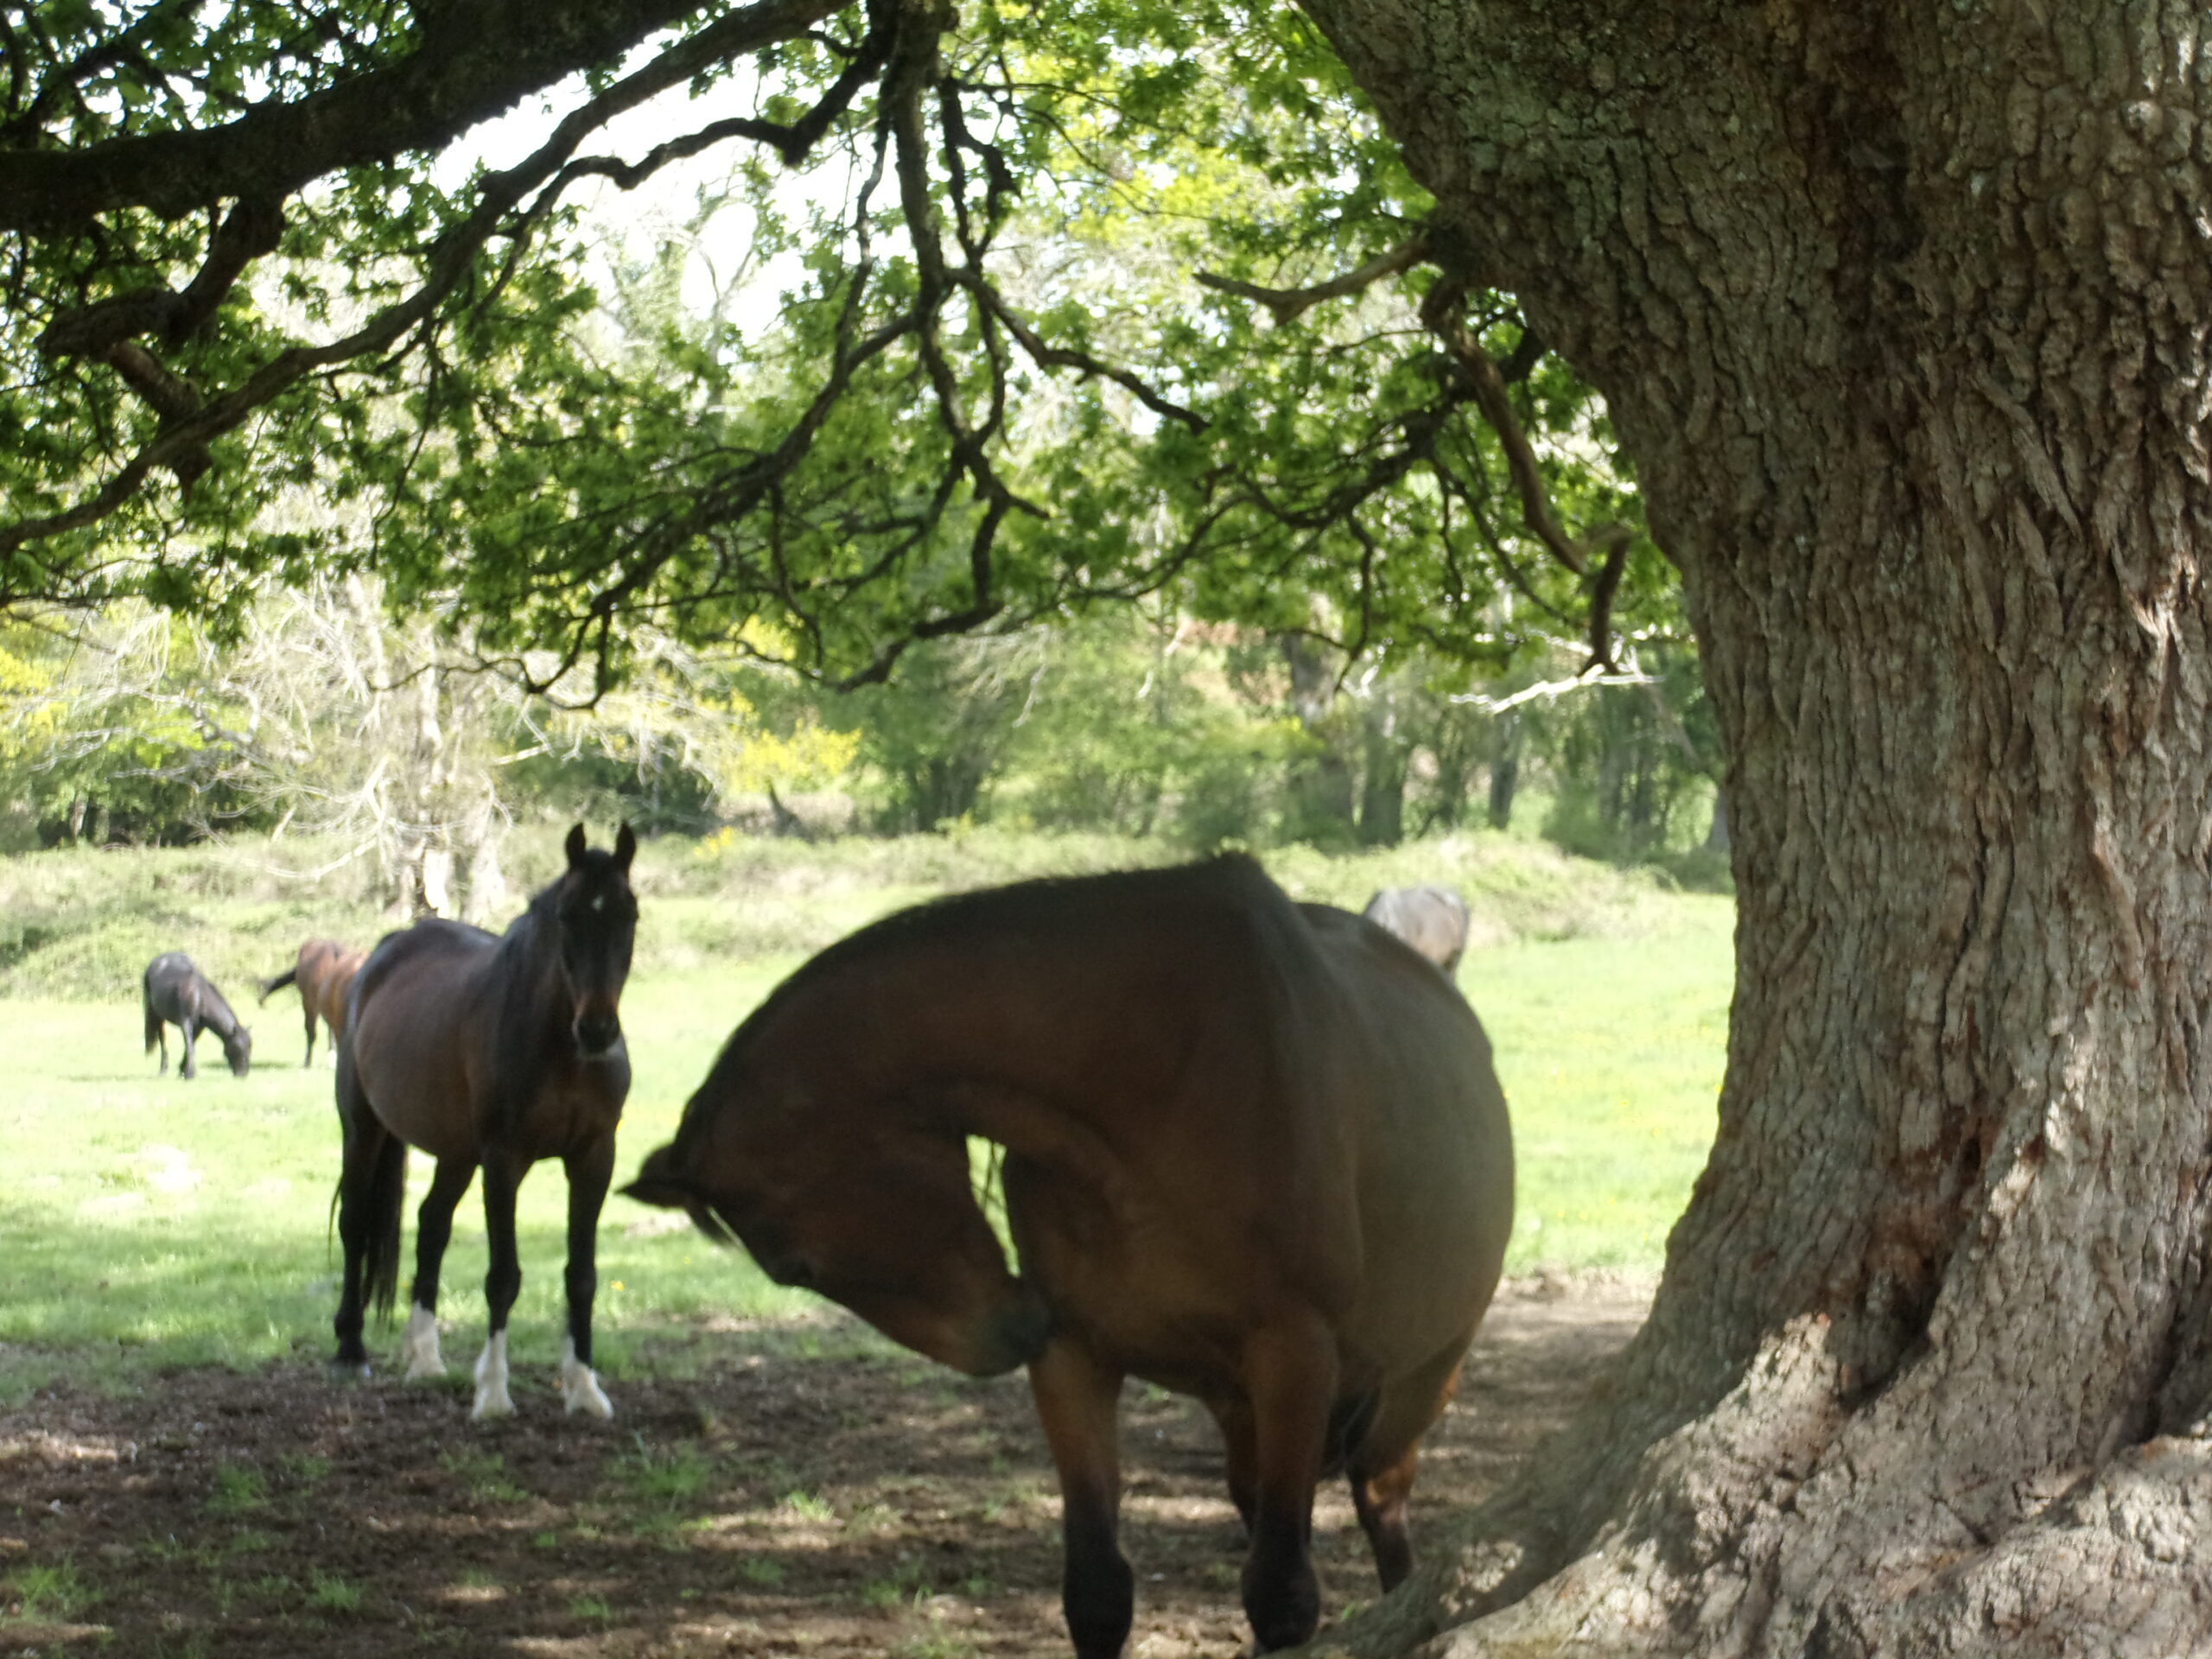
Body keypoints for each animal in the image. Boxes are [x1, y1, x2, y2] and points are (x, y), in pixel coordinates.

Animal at [142, 953, 253, 1079]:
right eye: (238, 1047)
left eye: (250, 1047)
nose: (243, 1074)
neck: (199, 997)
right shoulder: (186, 1024)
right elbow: (190, 1048)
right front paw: (190, 1074)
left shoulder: (199, 1028)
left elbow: (190, 1047)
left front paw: (183, 1070)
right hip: (156, 1016)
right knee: (162, 1040)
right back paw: (163, 1070)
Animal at [331, 823, 638, 1422]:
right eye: (566, 916)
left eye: (629, 914)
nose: (596, 1030)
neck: (559, 1048)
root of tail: (381, 955)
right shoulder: (504, 1160)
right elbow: (503, 1278)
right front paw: (493, 1393)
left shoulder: (594, 1158)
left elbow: (582, 1276)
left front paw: (584, 1388)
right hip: (364, 1131)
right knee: (355, 1224)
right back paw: (351, 1347)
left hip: (455, 1153)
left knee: (431, 1226)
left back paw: (426, 1357)